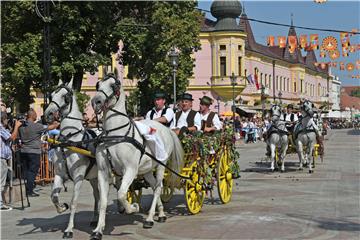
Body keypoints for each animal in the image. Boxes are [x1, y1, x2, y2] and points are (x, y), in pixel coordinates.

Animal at [45, 79, 100, 238]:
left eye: (66, 97)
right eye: (51, 95)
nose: (48, 114)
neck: (69, 141)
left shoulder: (78, 177)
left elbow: (74, 202)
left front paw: (69, 229)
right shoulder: (59, 174)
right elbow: (53, 196)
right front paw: (61, 207)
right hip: (94, 177)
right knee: (97, 195)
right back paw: (95, 219)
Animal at [90, 74, 183, 239]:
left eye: (113, 86)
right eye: (98, 84)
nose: (96, 102)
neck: (115, 135)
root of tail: (166, 129)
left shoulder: (130, 170)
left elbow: (121, 194)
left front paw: (133, 207)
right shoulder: (103, 171)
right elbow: (103, 201)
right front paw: (98, 230)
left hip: (160, 165)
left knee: (158, 188)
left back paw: (150, 218)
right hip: (147, 170)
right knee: (154, 186)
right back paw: (160, 213)